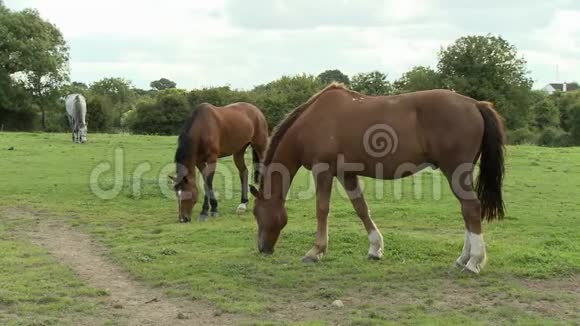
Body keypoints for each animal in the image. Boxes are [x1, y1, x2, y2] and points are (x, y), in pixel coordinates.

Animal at [251, 83, 506, 274]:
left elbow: (322, 209)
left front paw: (315, 251)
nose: (262, 249)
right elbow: (361, 208)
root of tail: (475, 104)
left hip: (455, 170)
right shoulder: (346, 173)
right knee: (466, 212)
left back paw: (473, 262)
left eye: (256, 213)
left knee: (471, 209)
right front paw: (375, 249)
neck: (311, 122)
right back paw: (463, 259)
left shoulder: (322, 169)